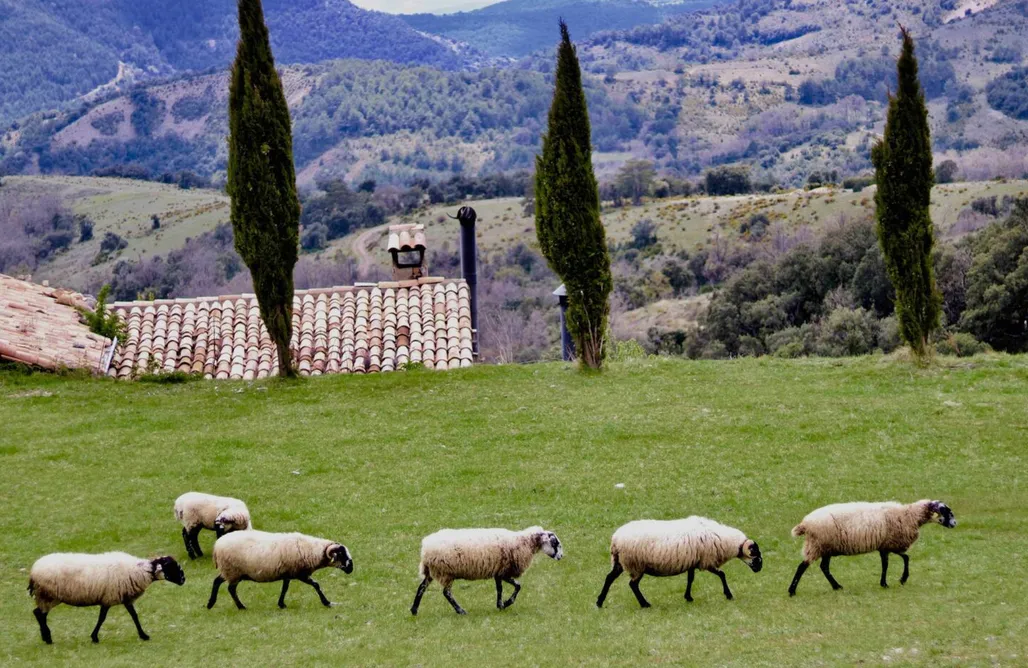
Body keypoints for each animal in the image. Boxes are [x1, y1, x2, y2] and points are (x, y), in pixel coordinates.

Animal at [27, 550, 185, 641]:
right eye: (170, 566)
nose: (183, 580)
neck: (140, 571)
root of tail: (33, 571)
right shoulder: (109, 598)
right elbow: (102, 618)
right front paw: (94, 637)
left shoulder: (125, 598)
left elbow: (134, 616)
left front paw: (143, 635)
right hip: (49, 595)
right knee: (40, 614)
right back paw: (47, 638)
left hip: (48, 597)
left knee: (38, 613)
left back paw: (45, 637)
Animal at [206, 530, 355, 608]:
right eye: (341, 554)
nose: (351, 568)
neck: (312, 550)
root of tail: (217, 545)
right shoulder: (300, 574)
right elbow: (316, 585)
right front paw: (326, 602)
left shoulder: (288, 573)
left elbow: (285, 588)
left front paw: (281, 604)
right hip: (233, 571)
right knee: (231, 589)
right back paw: (241, 606)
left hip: (229, 572)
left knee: (217, 581)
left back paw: (210, 603)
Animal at [411, 526, 567, 612]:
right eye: (555, 543)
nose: (561, 556)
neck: (524, 542)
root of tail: (425, 548)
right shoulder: (504, 571)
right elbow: (518, 586)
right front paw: (507, 603)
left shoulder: (498, 571)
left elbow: (500, 589)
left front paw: (500, 605)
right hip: (445, 572)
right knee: (446, 593)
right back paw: (460, 611)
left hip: (432, 571)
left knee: (421, 588)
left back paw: (414, 610)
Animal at [596, 515, 764, 608]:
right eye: (755, 553)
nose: (760, 568)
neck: (726, 541)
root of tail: (615, 540)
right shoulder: (707, 561)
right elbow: (722, 574)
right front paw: (728, 595)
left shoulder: (693, 562)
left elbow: (690, 579)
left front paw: (688, 597)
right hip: (636, 564)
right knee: (633, 585)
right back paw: (645, 604)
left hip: (619, 562)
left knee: (609, 578)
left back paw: (599, 602)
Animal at [785, 497, 953, 596]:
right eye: (945, 511)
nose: (954, 524)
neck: (909, 515)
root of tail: (805, 524)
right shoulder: (891, 543)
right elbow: (902, 558)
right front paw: (899, 580)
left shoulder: (885, 546)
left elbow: (890, 563)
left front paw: (885, 583)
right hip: (818, 545)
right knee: (803, 566)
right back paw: (792, 591)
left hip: (824, 547)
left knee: (824, 567)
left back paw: (837, 586)